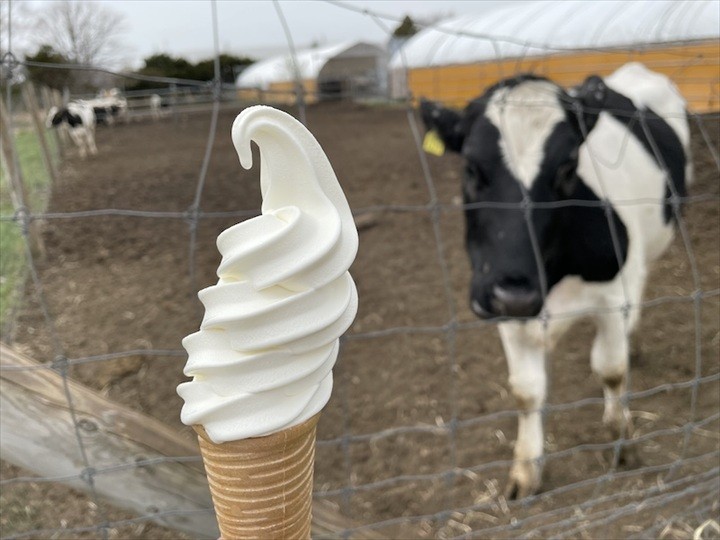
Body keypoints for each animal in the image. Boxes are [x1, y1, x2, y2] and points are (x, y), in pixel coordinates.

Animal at [422, 62, 692, 498]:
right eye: (471, 168)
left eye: (567, 167)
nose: (515, 294)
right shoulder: (500, 305)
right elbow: (526, 390)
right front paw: (525, 471)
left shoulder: (611, 298)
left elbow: (611, 369)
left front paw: (622, 440)